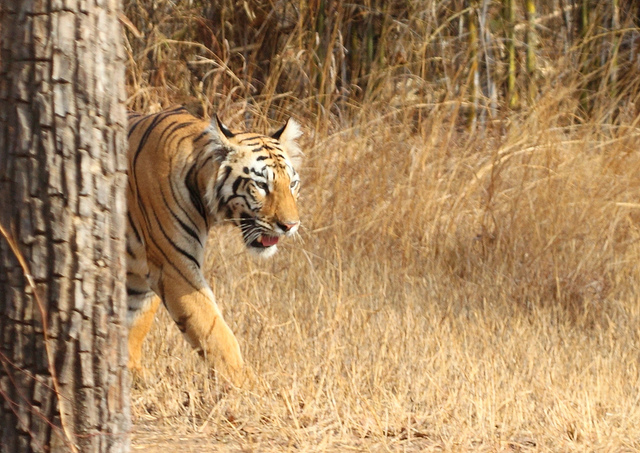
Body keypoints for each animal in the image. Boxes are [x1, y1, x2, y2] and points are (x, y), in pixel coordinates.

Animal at [126, 105, 304, 382]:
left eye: (292, 184)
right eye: (261, 185)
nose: (291, 225)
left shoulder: (143, 271)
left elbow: (135, 322)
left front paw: (130, 372)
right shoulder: (173, 266)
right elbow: (215, 331)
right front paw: (246, 385)